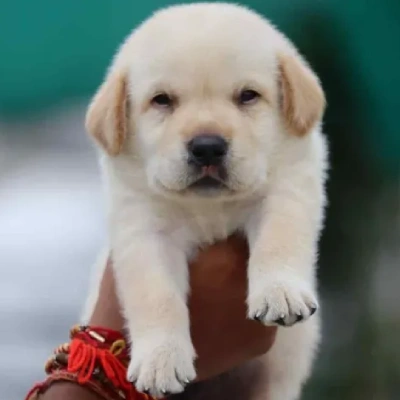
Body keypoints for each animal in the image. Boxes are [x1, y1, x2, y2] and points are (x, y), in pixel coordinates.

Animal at [83, 3, 328, 400]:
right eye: (162, 100)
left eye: (248, 96)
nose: (208, 147)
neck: (209, 207)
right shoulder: (142, 227)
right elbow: (156, 292)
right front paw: (161, 359)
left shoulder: (288, 186)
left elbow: (279, 236)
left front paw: (280, 291)